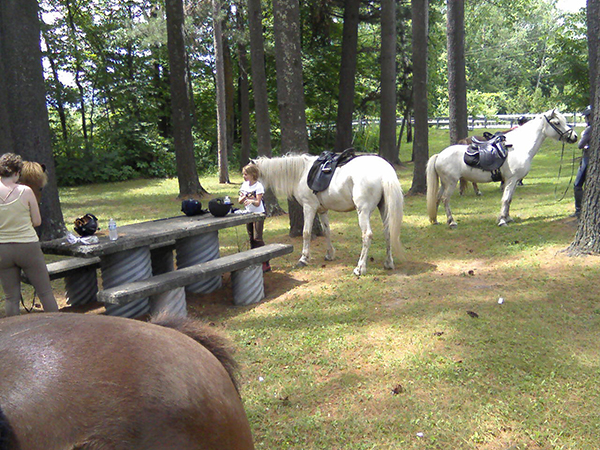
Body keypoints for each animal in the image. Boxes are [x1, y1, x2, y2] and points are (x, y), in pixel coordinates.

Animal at [253, 153, 404, 276]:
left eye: (252, 177)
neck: (301, 173)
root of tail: (384, 171)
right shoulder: (322, 210)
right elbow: (327, 231)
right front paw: (330, 254)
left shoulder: (309, 207)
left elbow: (306, 233)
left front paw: (303, 259)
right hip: (384, 208)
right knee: (388, 232)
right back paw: (388, 263)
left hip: (363, 211)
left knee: (367, 235)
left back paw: (360, 268)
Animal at [424, 109, 580, 229]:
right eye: (557, 123)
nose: (574, 137)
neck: (519, 146)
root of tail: (439, 155)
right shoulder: (511, 180)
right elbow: (505, 199)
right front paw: (502, 221)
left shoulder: (514, 181)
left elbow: (509, 200)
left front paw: (508, 218)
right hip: (451, 183)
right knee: (445, 199)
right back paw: (451, 222)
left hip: (444, 183)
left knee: (437, 198)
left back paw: (436, 220)